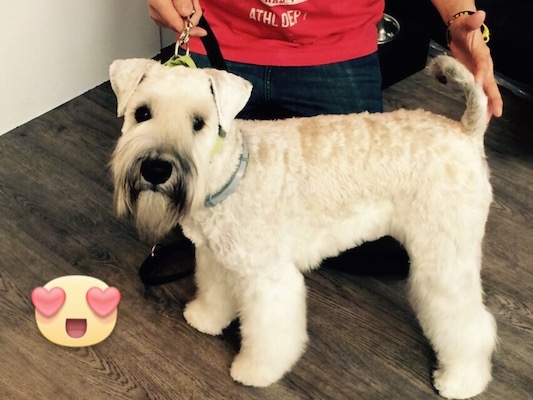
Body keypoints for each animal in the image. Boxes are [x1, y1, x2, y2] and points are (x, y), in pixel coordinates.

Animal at [110, 56, 496, 400]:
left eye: (199, 122)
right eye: (142, 113)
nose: (156, 169)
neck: (232, 173)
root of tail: (465, 131)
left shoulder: (269, 279)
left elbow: (269, 334)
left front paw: (255, 371)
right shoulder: (215, 257)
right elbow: (215, 293)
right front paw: (205, 318)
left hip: (443, 262)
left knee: (470, 325)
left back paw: (461, 380)